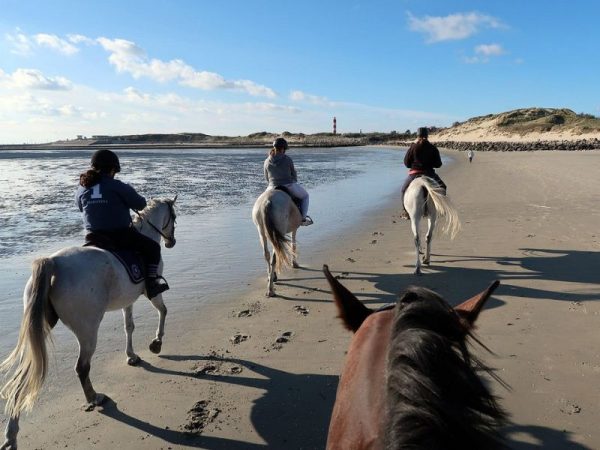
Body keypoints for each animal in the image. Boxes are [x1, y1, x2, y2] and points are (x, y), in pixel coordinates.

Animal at [0, 197, 177, 450]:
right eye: (173, 217)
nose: (171, 241)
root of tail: (53, 262)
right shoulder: (151, 293)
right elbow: (163, 311)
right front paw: (156, 343)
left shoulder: (128, 300)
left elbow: (129, 326)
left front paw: (132, 355)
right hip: (87, 331)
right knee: (82, 367)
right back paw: (94, 397)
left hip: (41, 328)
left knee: (23, 376)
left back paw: (11, 434)